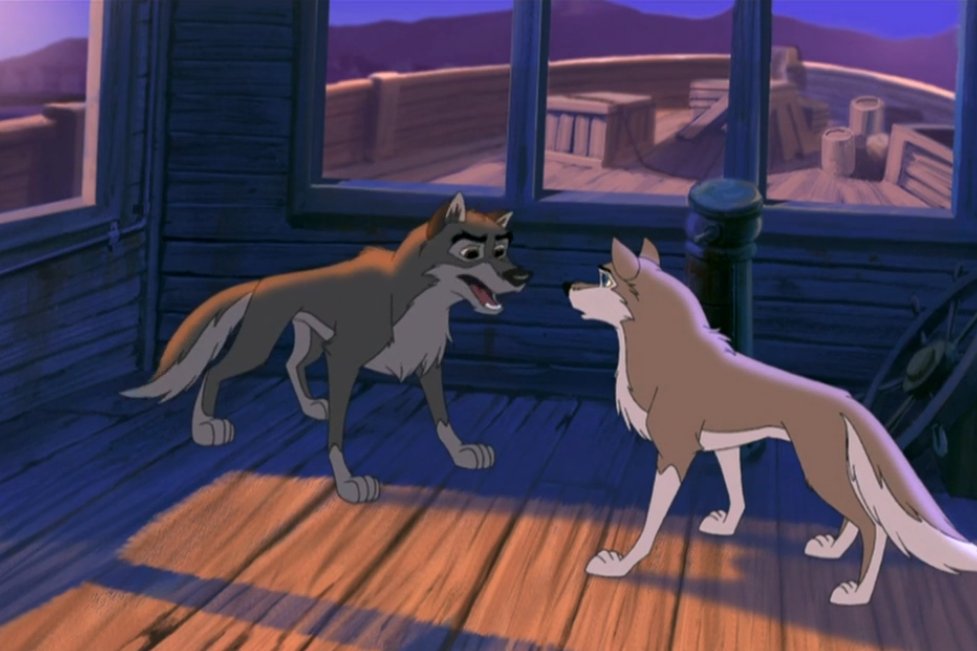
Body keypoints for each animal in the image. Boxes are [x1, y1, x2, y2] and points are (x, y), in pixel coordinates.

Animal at [122, 192, 530, 503]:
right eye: (471, 254)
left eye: (503, 250)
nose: (521, 276)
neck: (422, 303)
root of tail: (262, 281)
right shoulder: (343, 361)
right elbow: (337, 434)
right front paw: (348, 483)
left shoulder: (429, 366)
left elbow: (444, 419)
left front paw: (462, 451)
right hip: (260, 346)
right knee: (217, 370)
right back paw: (205, 426)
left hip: (312, 343)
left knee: (291, 364)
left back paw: (309, 406)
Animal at [565, 237, 977, 605]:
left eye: (603, 278)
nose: (567, 286)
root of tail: (846, 401)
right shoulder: (726, 445)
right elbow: (737, 493)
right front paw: (727, 526)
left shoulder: (673, 454)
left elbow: (651, 522)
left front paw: (621, 565)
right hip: (833, 471)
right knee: (858, 518)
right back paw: (832, 551)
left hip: (819, 471)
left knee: (873, 526)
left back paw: (858, 594)